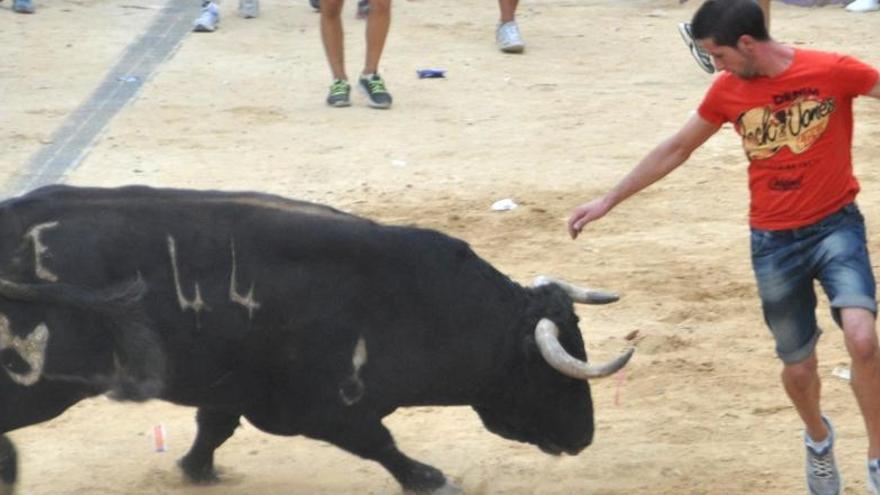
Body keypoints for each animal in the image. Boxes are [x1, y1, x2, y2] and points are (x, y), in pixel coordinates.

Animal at [0, 186, 632, 495]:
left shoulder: (233, 386)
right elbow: (381, 443)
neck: (415, 299)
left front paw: (195, 471)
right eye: (552, 375)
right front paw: (433, 480)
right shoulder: (324, 407)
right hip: (37, 386)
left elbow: (213, 428)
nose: (586, 436)